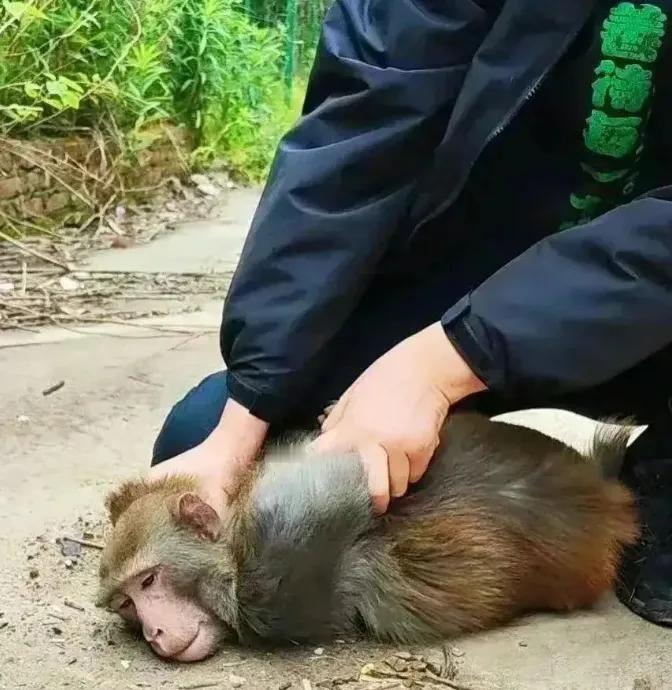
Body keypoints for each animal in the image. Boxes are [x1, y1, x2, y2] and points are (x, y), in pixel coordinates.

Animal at [96, 412, 640, 660]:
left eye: (148, 581)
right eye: (125, 604)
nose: (153, 632)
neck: (234, 553)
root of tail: (601, 491)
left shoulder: (267, 589)